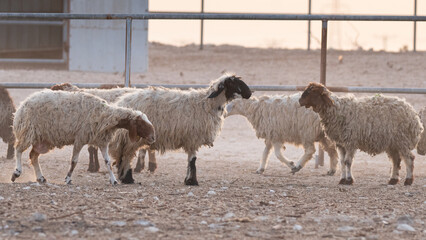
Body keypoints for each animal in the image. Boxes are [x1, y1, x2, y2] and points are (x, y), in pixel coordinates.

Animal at [10, 89, 156, 185]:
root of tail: (23, 104)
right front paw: (68, 179)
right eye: (141, 124)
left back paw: (41, 178)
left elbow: (107, 162)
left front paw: (113, 180)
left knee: (33, 156)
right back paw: (17, 172)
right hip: (28, 131)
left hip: (42, 139)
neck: (106, 115)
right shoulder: (80, 139)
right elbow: (74, 161)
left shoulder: (102, 142)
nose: (153, 137)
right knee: (18, 149)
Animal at [108, 74, 253, 185]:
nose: (249, 93)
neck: (207, 104)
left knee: (124, 156)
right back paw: (128, 178)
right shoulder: (193, 138)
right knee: (127, 155)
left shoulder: (191, 139)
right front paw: (192, 181)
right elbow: (193, 160)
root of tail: (122, 102)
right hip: (132, 137)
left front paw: (188, 180)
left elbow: (191, 160)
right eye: (233, 83)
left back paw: (124, 177)